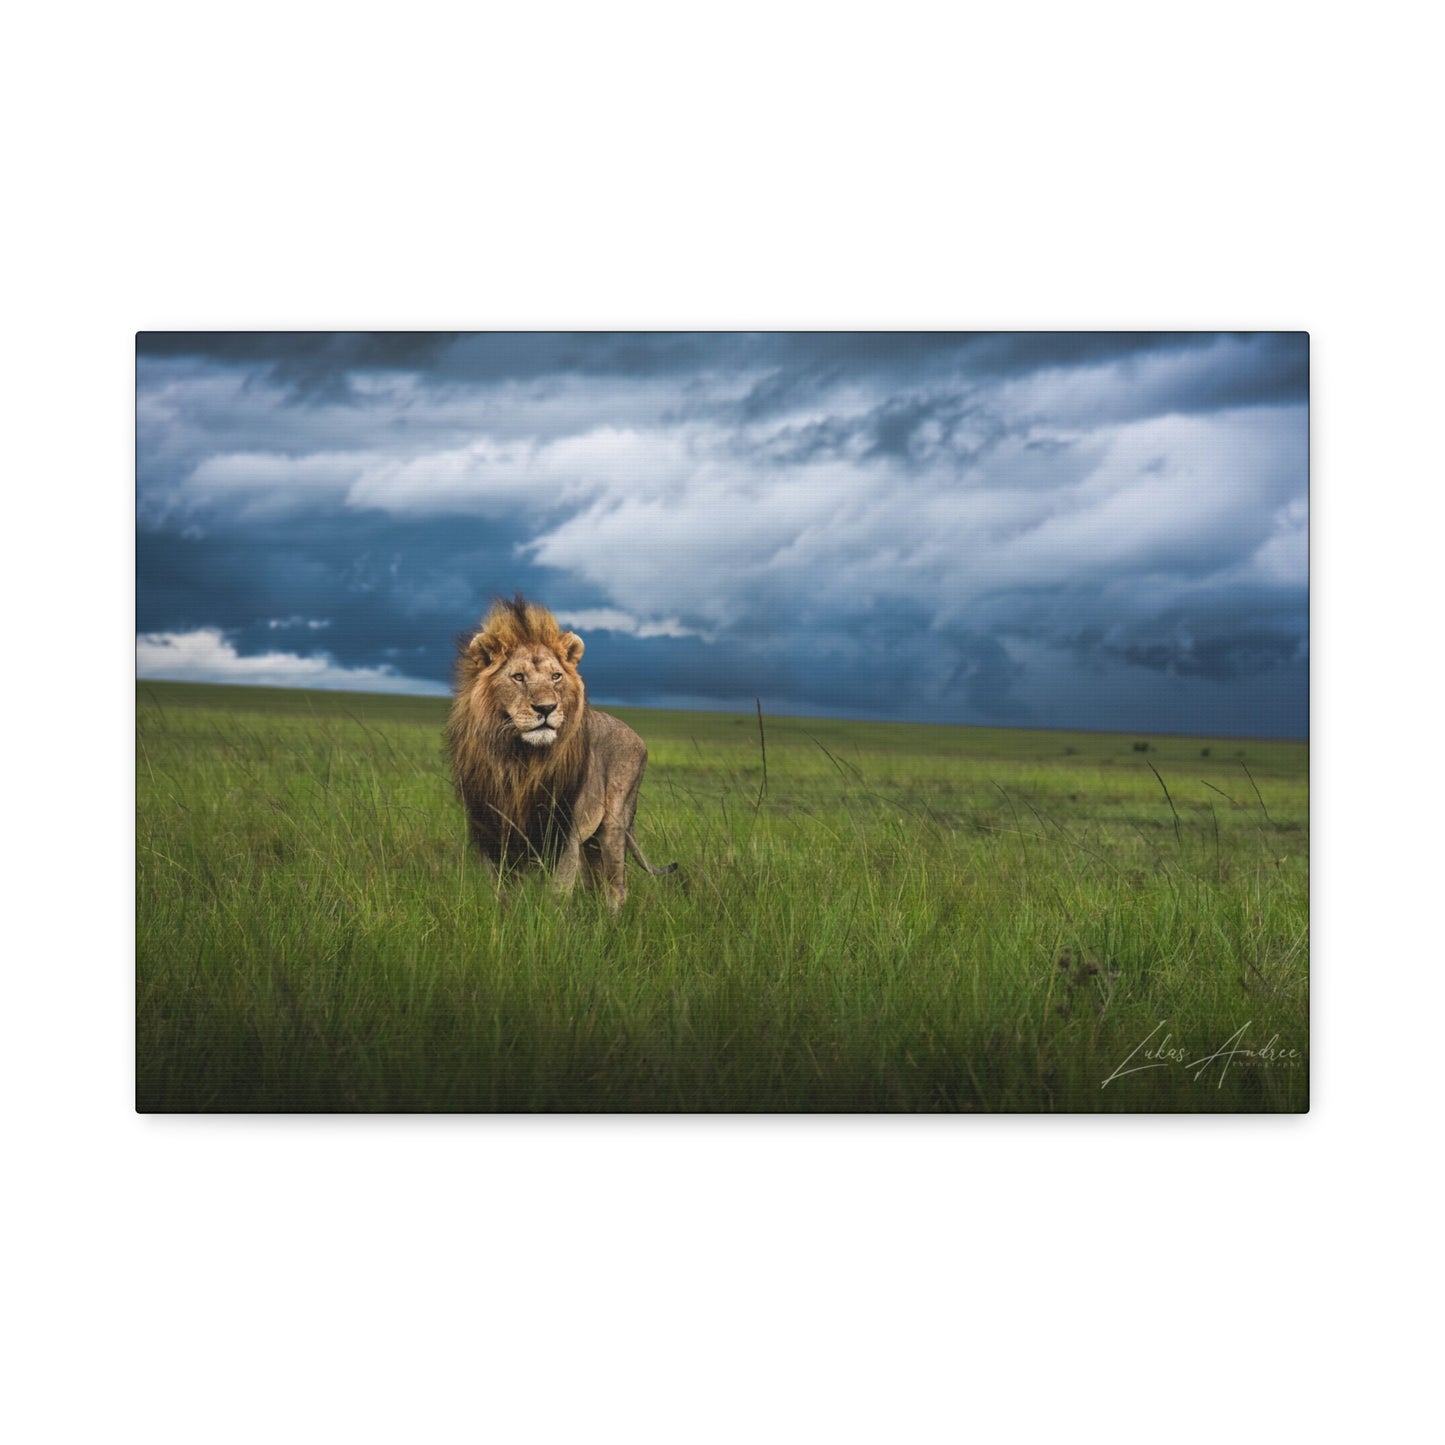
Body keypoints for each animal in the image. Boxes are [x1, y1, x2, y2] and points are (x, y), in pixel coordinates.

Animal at [446, 594, 676, 909]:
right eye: (518, 677)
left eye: (555, 676)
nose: (546, 708)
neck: (520, 762)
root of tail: (636, 736)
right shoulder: (492, 834)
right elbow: (503, 895)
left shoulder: (564, 834)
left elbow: (556, 896)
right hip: (590, 842)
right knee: (594, 883)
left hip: (614, 823)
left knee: (616, 887)